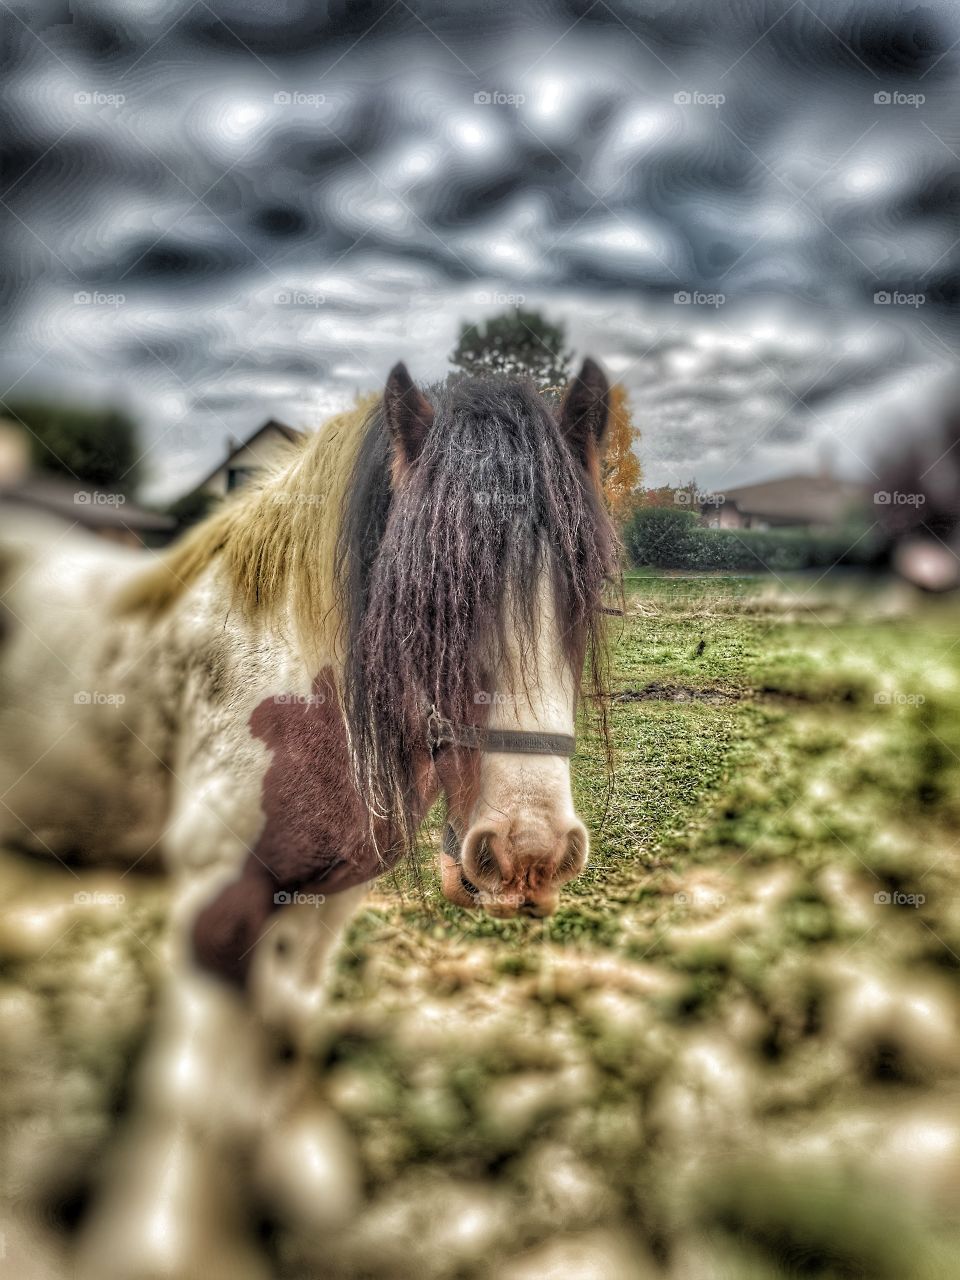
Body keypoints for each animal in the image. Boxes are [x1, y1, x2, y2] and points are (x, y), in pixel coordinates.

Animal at [0, 358, 618, 1276]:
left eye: (581, 595)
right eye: (422, 599)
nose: (529, 851)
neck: (293, 689)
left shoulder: (326, 895)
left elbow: (283, 1031)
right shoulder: (218, 902)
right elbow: (191, 1089)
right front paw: (165, 1236)